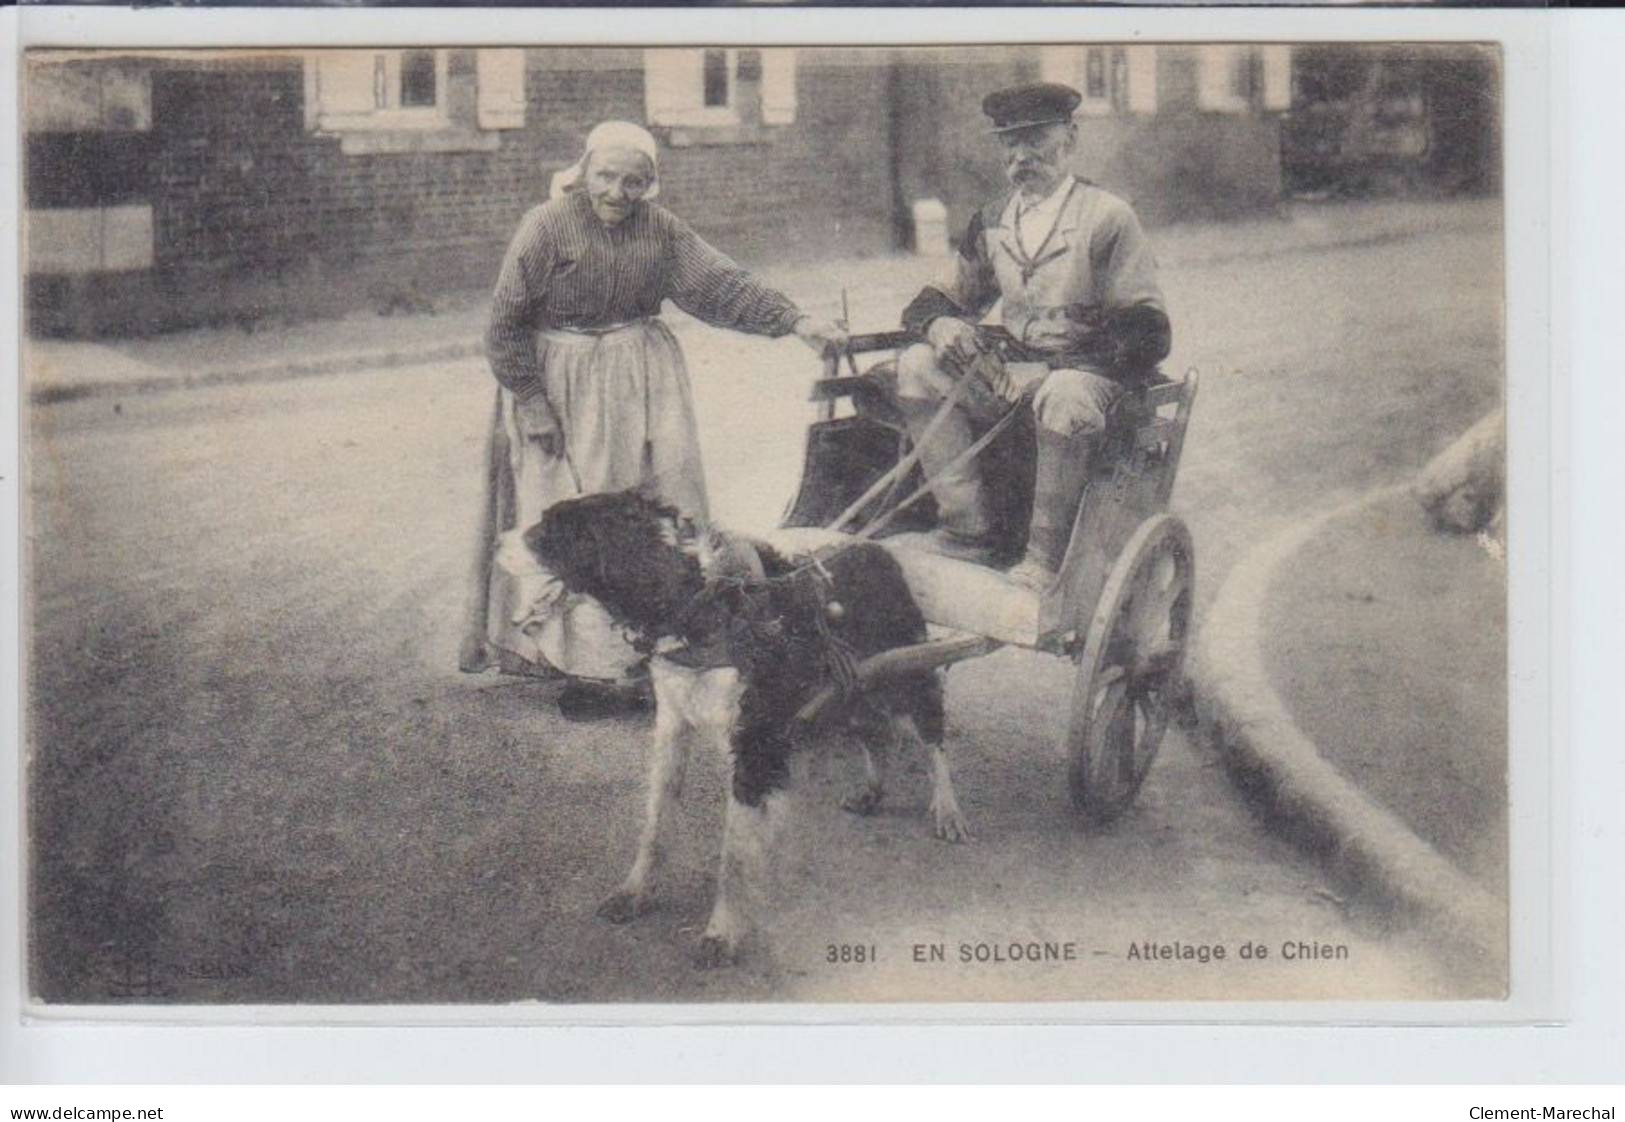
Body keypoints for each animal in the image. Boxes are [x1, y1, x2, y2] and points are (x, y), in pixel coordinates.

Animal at [526, 487, 968, 962]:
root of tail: (879, 549)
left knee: (931, 739)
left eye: (558, 528)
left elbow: (734, 853)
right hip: (851, 687)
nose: (511, 539)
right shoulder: (673, 726)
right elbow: (657, 824)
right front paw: (634, 893)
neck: (700, 608)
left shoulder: (754, 745)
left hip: (908, 677)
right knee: (877, 735)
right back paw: (871, 791)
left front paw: (721, 933)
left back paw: (948, 810)